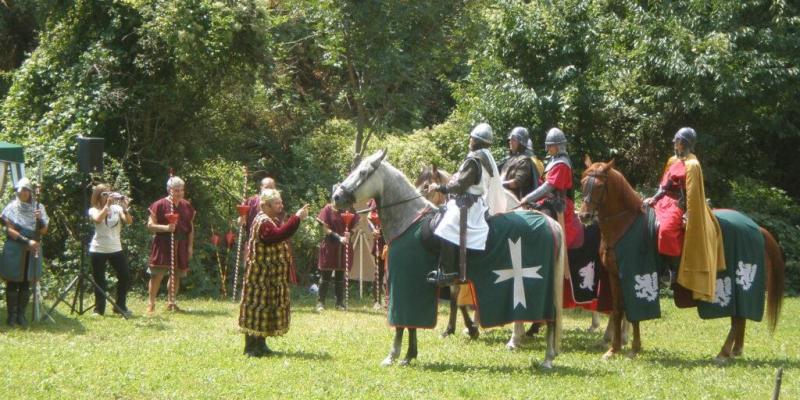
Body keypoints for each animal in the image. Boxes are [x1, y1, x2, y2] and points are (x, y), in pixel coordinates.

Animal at [580, 158, 784, 360]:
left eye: (599, 186)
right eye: (583, 183)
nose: (584, 215)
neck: (626, 223)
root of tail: (757, 228)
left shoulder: (635, 274)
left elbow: (634, 314)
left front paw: (633, 349)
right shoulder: (615, 276)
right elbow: (617, 310)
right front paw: (613, 349)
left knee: (738, 317)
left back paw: (723, 352)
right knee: (740, 317)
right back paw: (734, 351)